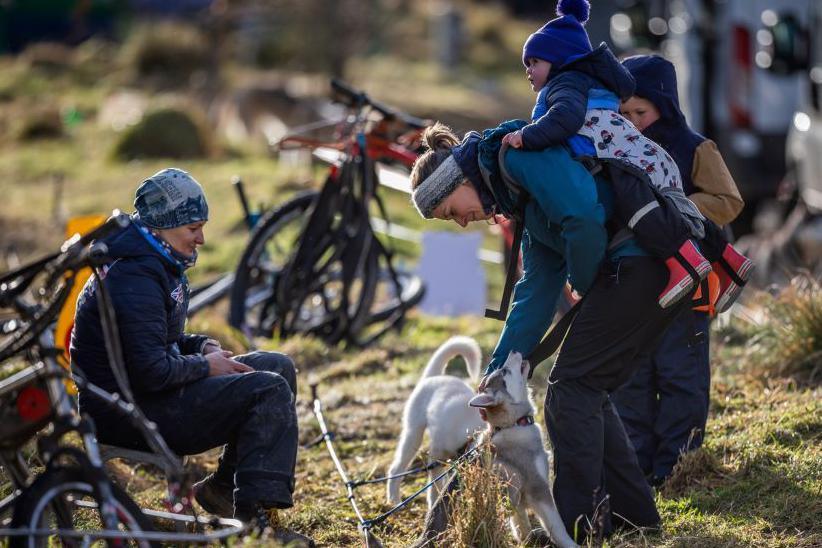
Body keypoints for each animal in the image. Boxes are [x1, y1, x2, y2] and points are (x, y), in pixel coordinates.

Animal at [388, 336, 486, 508]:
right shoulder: (436, 458)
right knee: (396, 469)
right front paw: (434, 505)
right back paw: (395, 500)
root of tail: (433, 376)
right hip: (413, 435)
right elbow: (435, 489)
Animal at [470, 352, 580, 548]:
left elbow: (521, 525)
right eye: (504, 371)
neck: (513, 425)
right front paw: (570, 543)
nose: (513, 351)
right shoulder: (538, 488)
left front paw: (527, 540)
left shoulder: (518, 502)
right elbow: (556, 524)